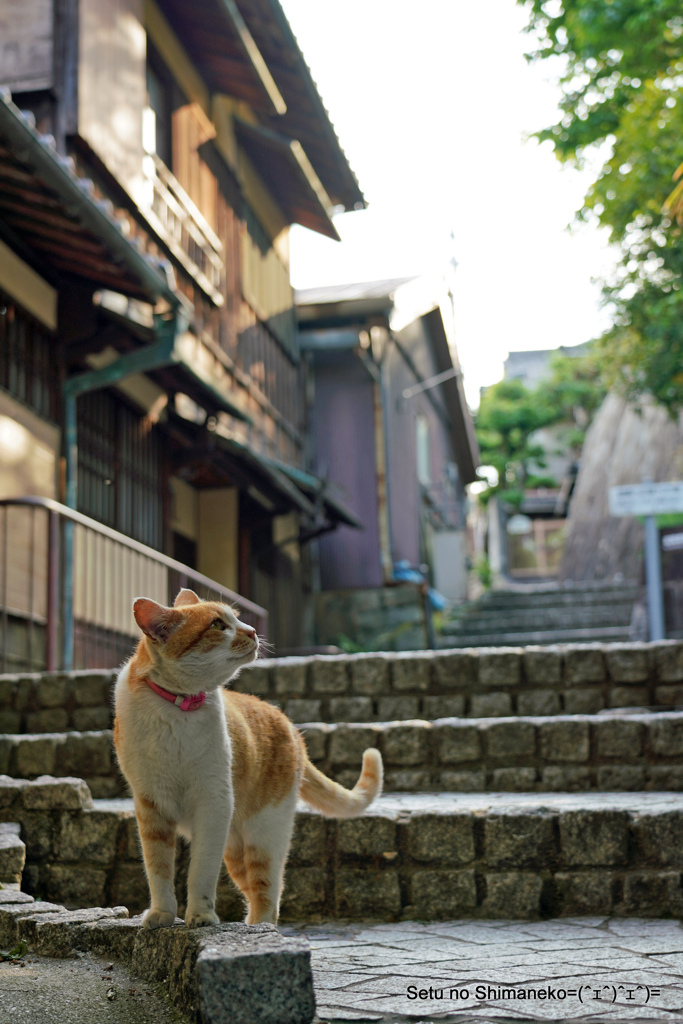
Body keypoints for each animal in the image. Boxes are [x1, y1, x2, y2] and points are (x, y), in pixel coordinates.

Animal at [113, 585, 385, 929]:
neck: (176, 711)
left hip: (263, 835)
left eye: (237, 619)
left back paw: (261, 929)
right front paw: (162, 913)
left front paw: (201, 915)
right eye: (217, 625)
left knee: (268, 890)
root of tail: (290, 725)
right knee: (253, 891)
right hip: (233, 847)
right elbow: (158, 868)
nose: (253, 631)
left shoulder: (213, 803)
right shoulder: (152, 805)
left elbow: (201, 871)